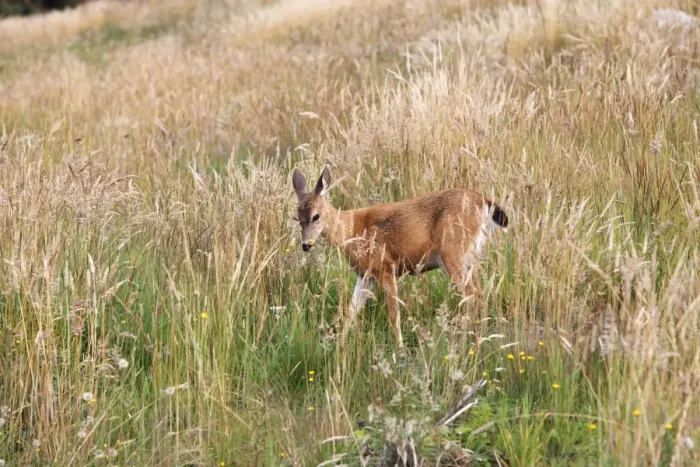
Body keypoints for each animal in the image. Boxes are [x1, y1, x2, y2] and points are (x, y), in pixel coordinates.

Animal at [292, 165, 509, 348]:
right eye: (296, 218)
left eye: (316, 216)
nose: (306, 245)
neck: (351, 229)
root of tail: (484, 201)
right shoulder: (366, 275)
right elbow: (351, 311)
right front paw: (339, 344)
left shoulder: (385, 266)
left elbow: (393, 313)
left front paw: (400, 348)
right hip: (470, 258)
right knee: (480, 293)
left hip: (452, 253)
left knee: (472, 294)